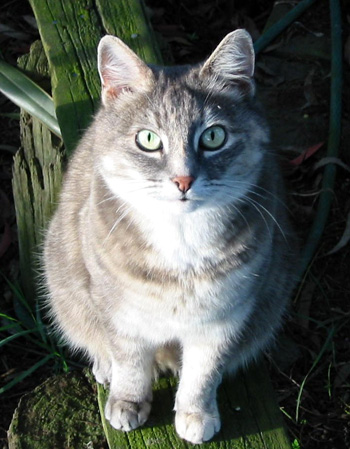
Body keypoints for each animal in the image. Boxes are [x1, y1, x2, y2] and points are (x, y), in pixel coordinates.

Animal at [42, 29, 296, 442]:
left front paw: (195, 412)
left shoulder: (226, 317)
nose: (183, 179)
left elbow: (204, 372)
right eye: (148, 139)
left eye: (213, 136)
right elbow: (129, 360)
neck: (182, 245)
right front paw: (128, 400)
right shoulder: (119, 312)